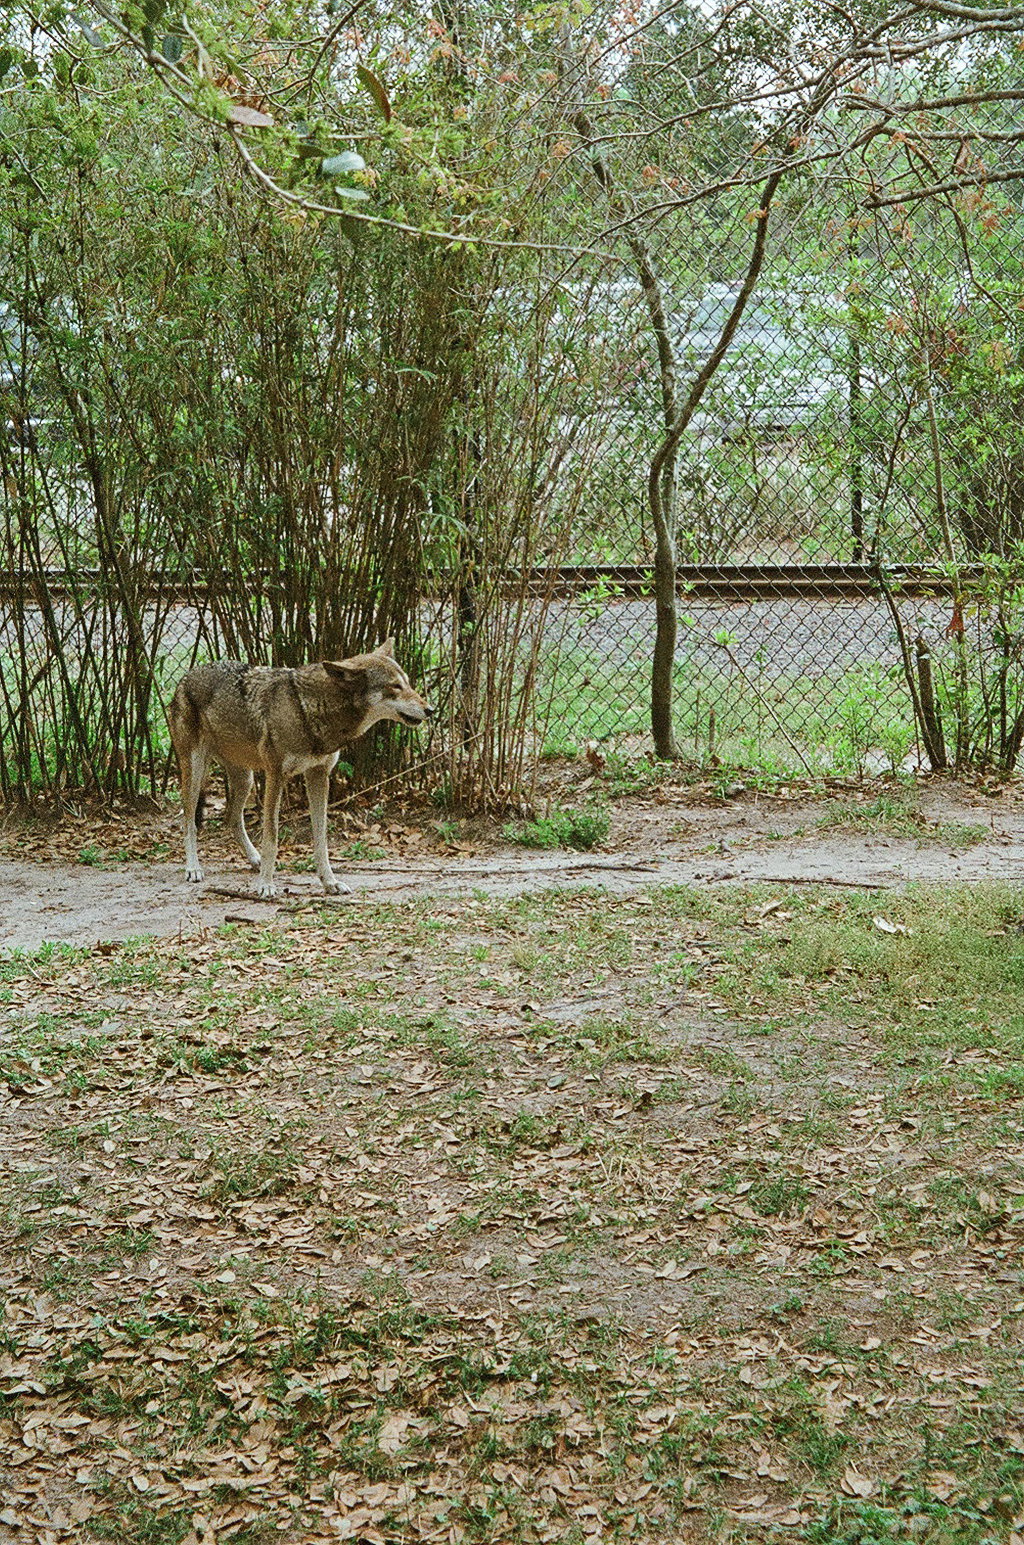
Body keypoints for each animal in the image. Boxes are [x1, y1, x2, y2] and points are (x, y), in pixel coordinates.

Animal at [167, 641, 432, 898]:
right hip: (196, 773)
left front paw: (330, 883)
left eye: (407, 683)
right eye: (394, 686)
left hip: (245, 780)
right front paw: (266, 885)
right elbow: (271, 836)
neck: (308, 710)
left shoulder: (319, 775)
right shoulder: (275, 777)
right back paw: (194, 868)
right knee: (188, 821)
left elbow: (321, 839)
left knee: (231, 818)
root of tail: (186, 676)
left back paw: (254, 859)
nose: (430, 710)